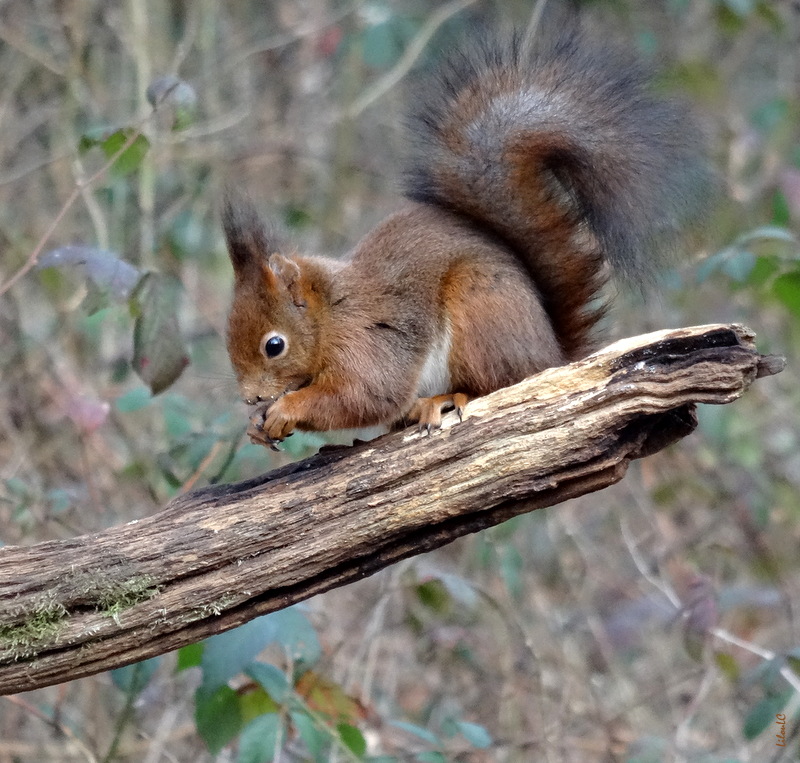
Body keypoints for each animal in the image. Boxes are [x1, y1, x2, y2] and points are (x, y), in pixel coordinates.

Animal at [222, 26, 708, 448]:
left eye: (274, 345)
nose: (250, 398)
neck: (328, 314)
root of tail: (551, 354)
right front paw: (255, 425)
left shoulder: (368, 341)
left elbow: (364, 394)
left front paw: (287, 408)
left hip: (480, 310)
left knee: (493, 385)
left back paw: (443, 399)